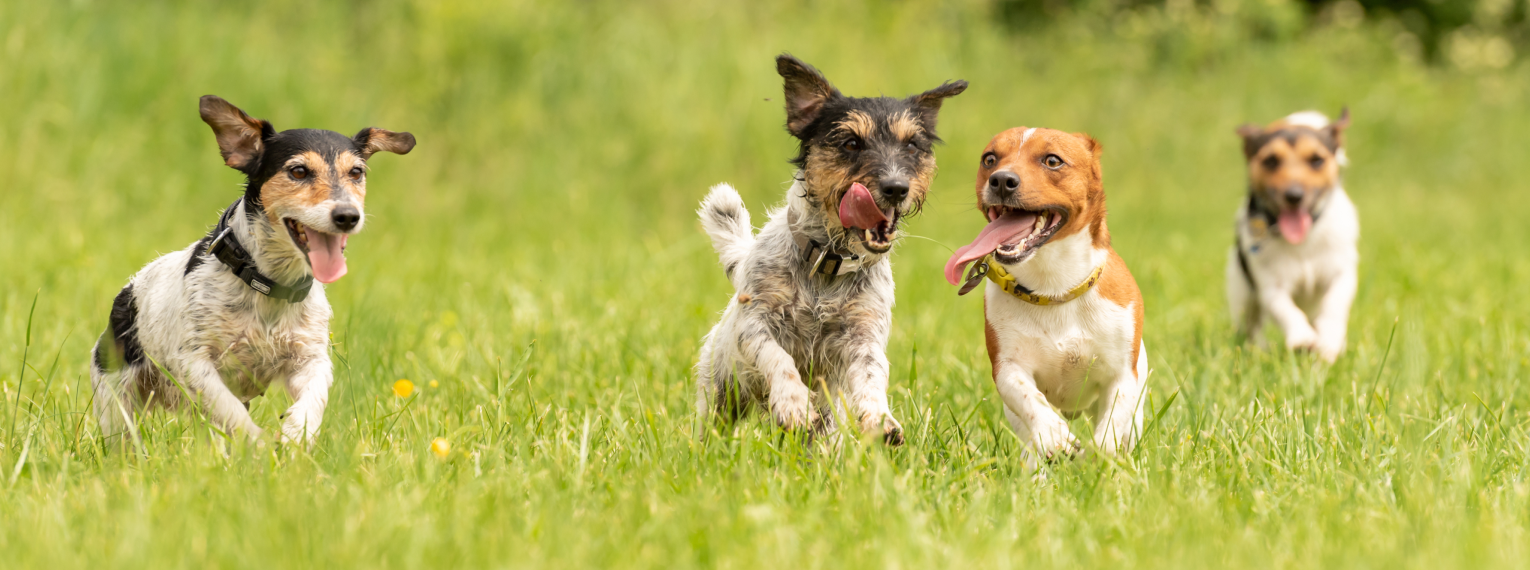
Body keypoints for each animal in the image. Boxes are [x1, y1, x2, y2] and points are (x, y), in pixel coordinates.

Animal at [91, 95, 416, 443]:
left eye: (356, 172)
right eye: (298, 171)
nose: (347, 216)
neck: (269, 283)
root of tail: (129, 289)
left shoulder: (310, 358)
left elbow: (315, 396)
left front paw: (295, 434)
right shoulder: (195, 361)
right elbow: (230, 410)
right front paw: (258, 444)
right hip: (116, 398)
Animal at [697, 54, 966, 443]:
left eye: (912, 146)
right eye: (851, 143)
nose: (897, 187)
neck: (828, 262)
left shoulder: (864, 335)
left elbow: (872, 375)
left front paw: (880, 418)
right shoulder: (756, 322)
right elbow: (777, 358)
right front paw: (793, 401)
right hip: (722, 391)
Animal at [942, 126, 1150, 464]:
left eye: (1053, 160)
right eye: (990, 159)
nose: (1001, 180)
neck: (1054, 289)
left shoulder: (1123, 374)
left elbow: (1110, 432)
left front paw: (1099, 457)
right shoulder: (1008, 366)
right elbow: (1030, 399)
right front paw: (1055, 435)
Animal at [1224, 108, 1358, 362]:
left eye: (1316, 160)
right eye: (1270, 161)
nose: (1294, 195)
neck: (1303, 240)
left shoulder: (1341, 274)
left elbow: (1334, 304)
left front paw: (1330, 340)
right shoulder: (1270, 286)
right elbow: (1286, 309)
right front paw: (1302, 338)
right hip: (1242, 295)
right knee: (1251, 326)